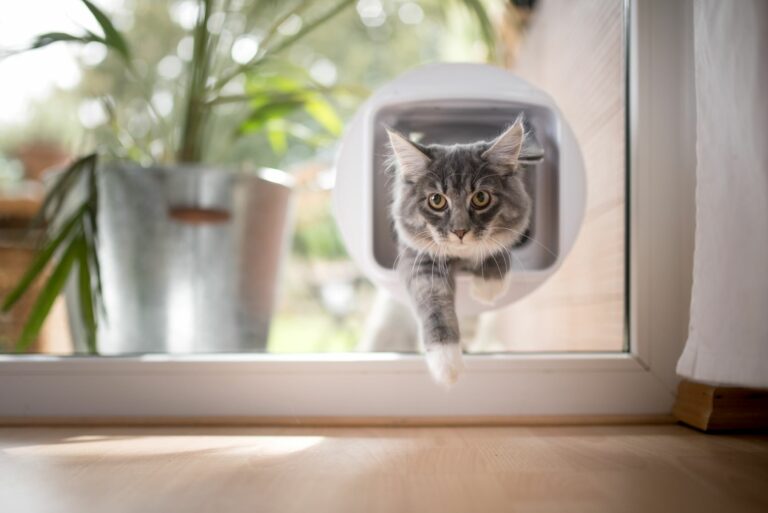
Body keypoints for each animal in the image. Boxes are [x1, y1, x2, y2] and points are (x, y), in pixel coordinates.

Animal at [388, 116, 536, 386]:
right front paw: (447, 364)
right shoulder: (418, 261)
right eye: (436, 200)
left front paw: (488, 285)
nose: (460, 231)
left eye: (481, 198)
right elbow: (435, 309)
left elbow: (495, 247)